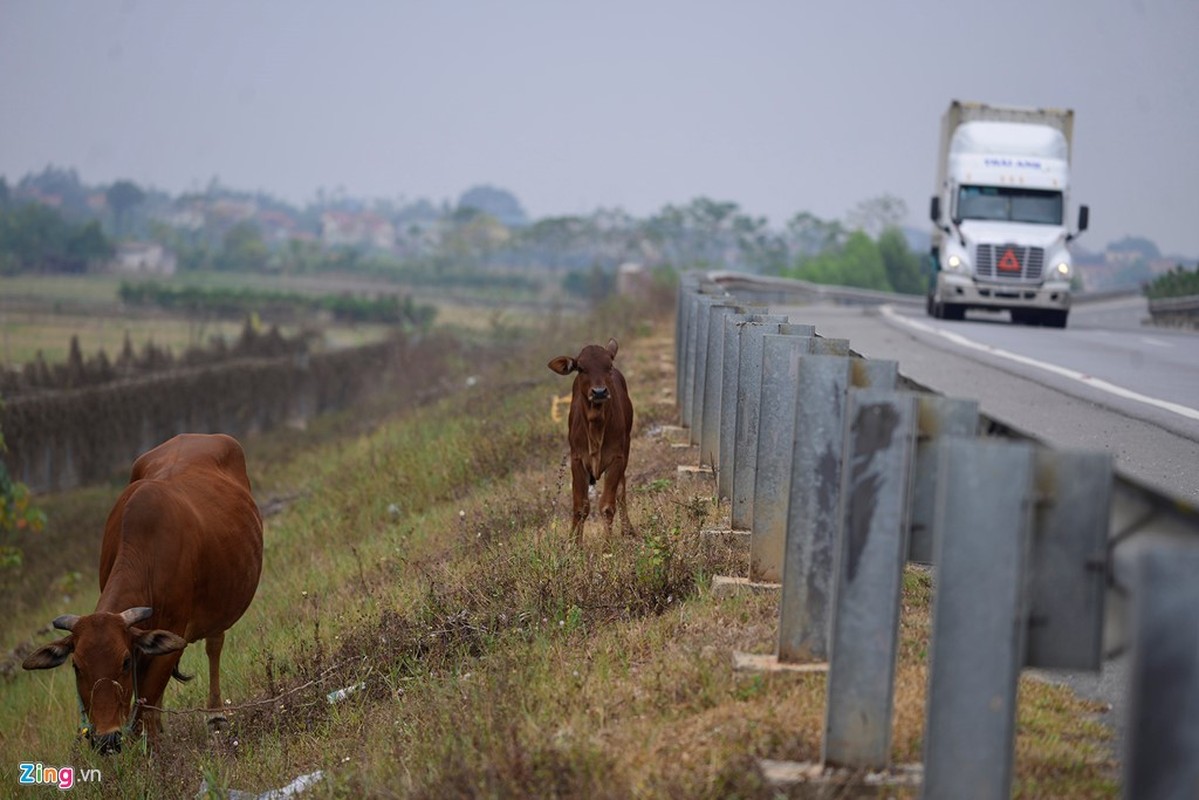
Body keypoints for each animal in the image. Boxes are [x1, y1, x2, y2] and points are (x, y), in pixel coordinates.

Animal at [21, 434, 261, 753]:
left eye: (123, 662)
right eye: (76, 666)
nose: (106, 739)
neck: (146, 554)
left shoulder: (174, 633)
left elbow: (147, 696)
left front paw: (153, 748)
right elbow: (147, 695)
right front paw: (153, 735)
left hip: (219, 606)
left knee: (214, 646)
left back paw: (215, 716)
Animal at [546, 338, 633, 544]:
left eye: (608, 365)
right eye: (581, 368)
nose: (599, 392)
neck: (596, 427)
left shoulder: (617, 458)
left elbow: (608, 505)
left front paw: (608, 546)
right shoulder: (577, 460)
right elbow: (580, 508)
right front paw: (574, 545)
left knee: (621, 491)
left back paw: (627, 530)